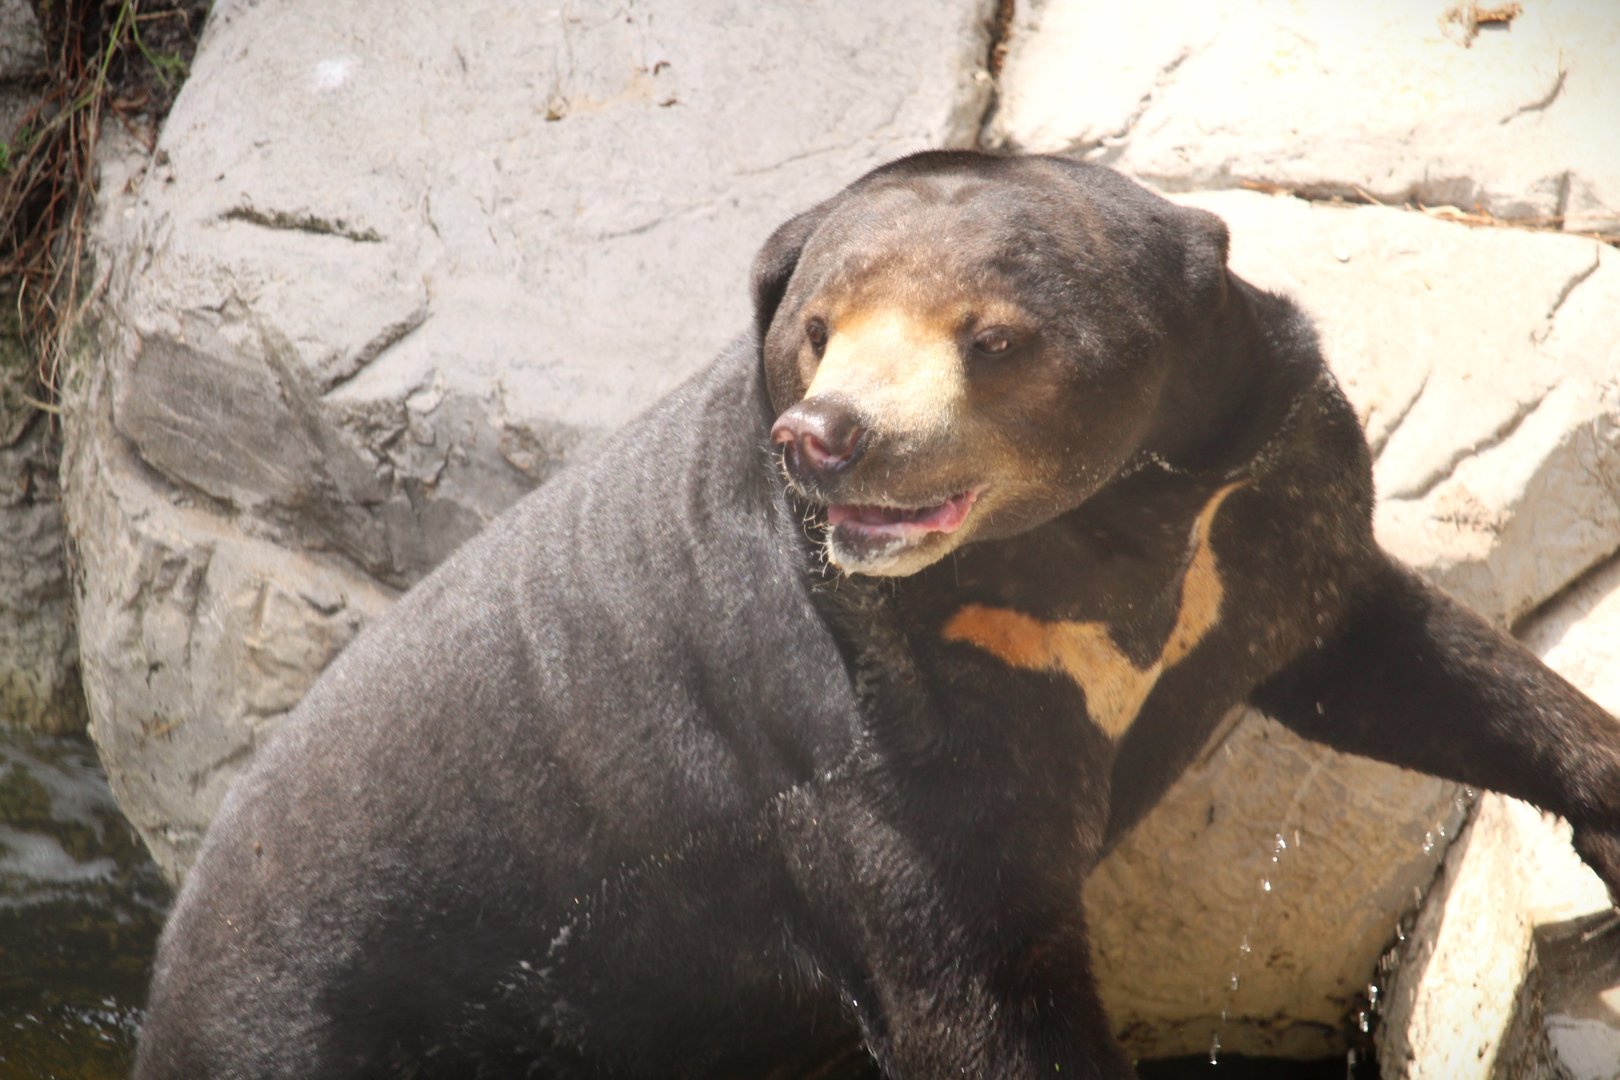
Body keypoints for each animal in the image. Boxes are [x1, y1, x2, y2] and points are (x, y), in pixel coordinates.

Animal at [134, 151, 1620, 1079]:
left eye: (993, 338)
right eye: (819, 331)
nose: (828, 438)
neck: (1089, 542)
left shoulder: (1261, 502)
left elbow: (1388, 654)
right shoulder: (858, 719)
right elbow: (972, 981)